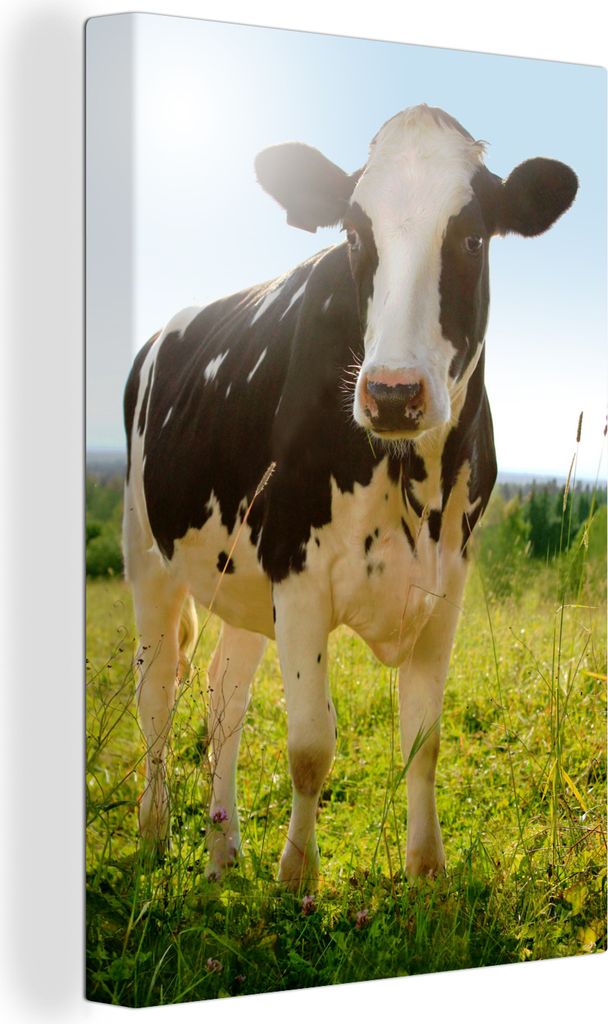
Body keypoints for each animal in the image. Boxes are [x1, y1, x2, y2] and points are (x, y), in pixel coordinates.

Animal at [123, 104, 577, 889]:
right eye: (355, 235)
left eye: (472, 236)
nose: (393, 393)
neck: (411, 476)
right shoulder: (298, 574)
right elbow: (310, 745)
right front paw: (297, 877)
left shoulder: (446, 585)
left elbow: (425, 740)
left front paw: (427, 872)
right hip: (145, 551)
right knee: (158, 690)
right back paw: (154, 832)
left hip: (240, 578)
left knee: (222, 698)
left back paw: (223, 852)